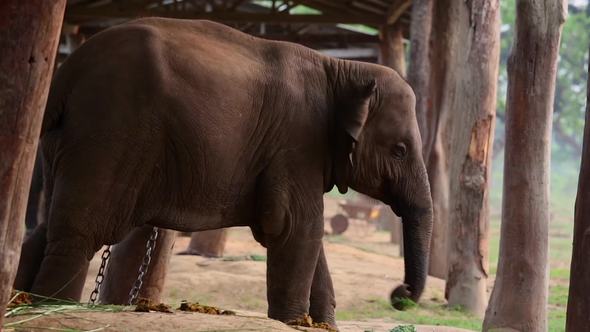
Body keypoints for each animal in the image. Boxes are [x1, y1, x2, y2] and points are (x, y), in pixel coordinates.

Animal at [15, 18, 434, 326]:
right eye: (399, 151)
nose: (399, 295)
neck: (342, 69)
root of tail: (67, 72)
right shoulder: (297, 142)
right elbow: (295, 227)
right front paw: (293, 321)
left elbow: (307, 234)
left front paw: (320, 324)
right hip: (109, 129)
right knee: (81, 233)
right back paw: (53, 308)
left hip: (67, 141)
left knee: (45, 230)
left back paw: (23, 301)